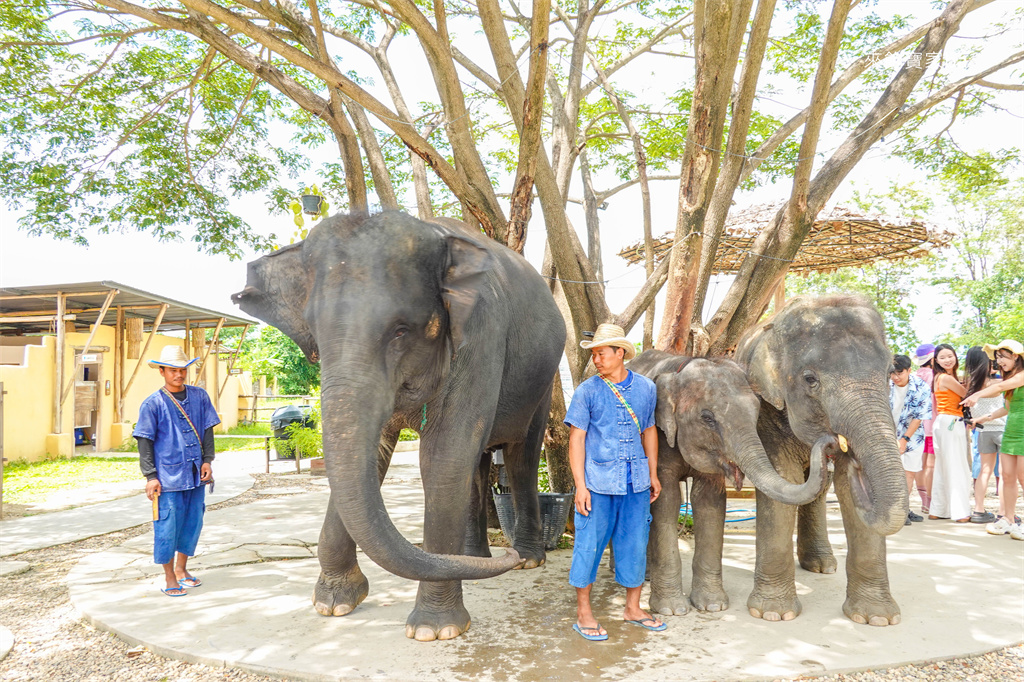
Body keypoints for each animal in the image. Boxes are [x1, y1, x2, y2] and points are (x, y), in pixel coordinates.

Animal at [232, 211, 566, 641]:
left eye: (401, 330)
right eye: (314, 332)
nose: (507, 558)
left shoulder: (481, 336)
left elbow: (443, 457)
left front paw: (435, 630)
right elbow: (375, 457)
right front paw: (334, 604)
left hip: (543, 382)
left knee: (520, 455)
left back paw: (526, 560)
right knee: (477, 464)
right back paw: (473, 557)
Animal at [628, 350, 831, 616]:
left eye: (756, 413)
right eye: (707, 418)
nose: (830, 441)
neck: (683, 367)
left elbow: (709, 502)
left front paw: (712, 606)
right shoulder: (659, 440)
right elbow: (666, 501)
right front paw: (672, 610)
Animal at [735, 293, 908, 626]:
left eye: (888, 374)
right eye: (810, 379)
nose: (832, 443)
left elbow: (845, 488)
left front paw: (877, 619)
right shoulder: (764, 406)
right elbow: (784, 477)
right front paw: (773, 614)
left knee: (820, 487)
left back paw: (822, 565)